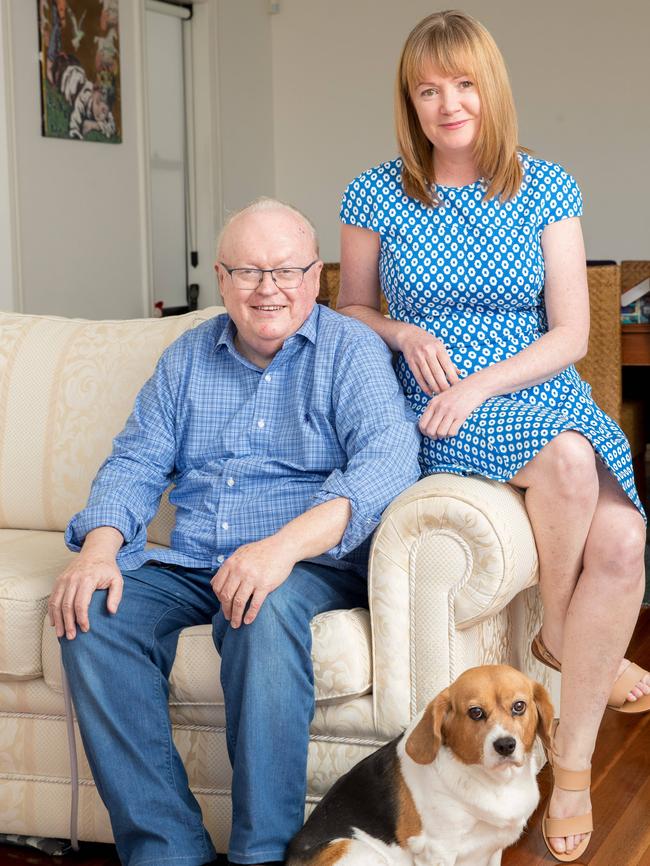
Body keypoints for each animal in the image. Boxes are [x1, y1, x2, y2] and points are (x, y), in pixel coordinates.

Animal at [288, 664, 552, 860]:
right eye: (475, 712)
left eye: (519, 706)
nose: (506, 745)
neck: (494, 781)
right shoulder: (437, 852)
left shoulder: (493, 848)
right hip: (354, 848)